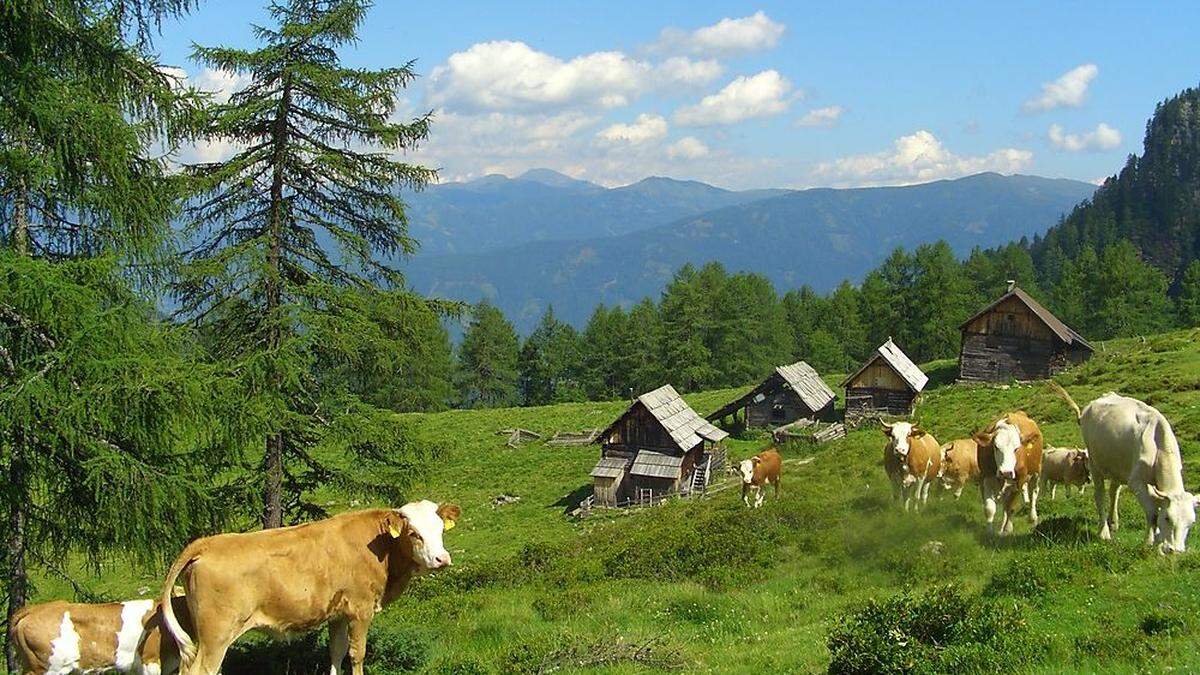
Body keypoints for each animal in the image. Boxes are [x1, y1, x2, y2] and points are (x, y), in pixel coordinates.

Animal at [159, 499, 458, 672]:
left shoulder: (338, 614)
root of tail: (206, 543)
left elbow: (337, 652)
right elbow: (357, 654)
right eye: (414, 534)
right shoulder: (360, 610)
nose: (442, 559)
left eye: (440, 530)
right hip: (216, 634)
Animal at [1051, 384, 1200, 552]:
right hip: (1095, 464)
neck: (1158, 447)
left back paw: (1113, 522)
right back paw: (1104, 532)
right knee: (1100, 495)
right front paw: (1149, 542)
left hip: (1117, 468)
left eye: (1192, 522)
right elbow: (1153, 514)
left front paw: (1157, 540)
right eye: (1168, 517)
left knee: (1113, 492)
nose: (1175, 551)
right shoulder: (1136, 482)